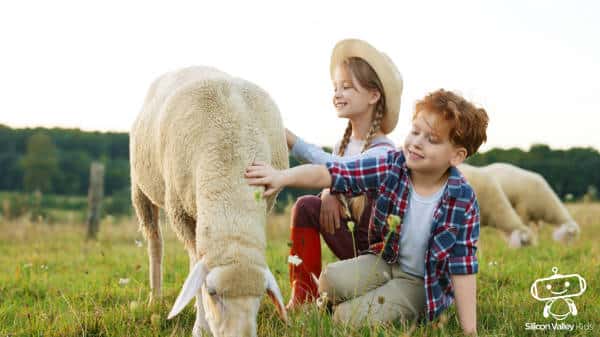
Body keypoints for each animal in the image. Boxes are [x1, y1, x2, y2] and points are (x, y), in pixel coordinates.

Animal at [131, 65, 288, 336]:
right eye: (213, 292)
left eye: (260, 296)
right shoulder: (180, 213)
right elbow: (195, 264)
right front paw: (201, 326)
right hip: (140, 188)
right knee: (154, 241)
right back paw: (155, 297)